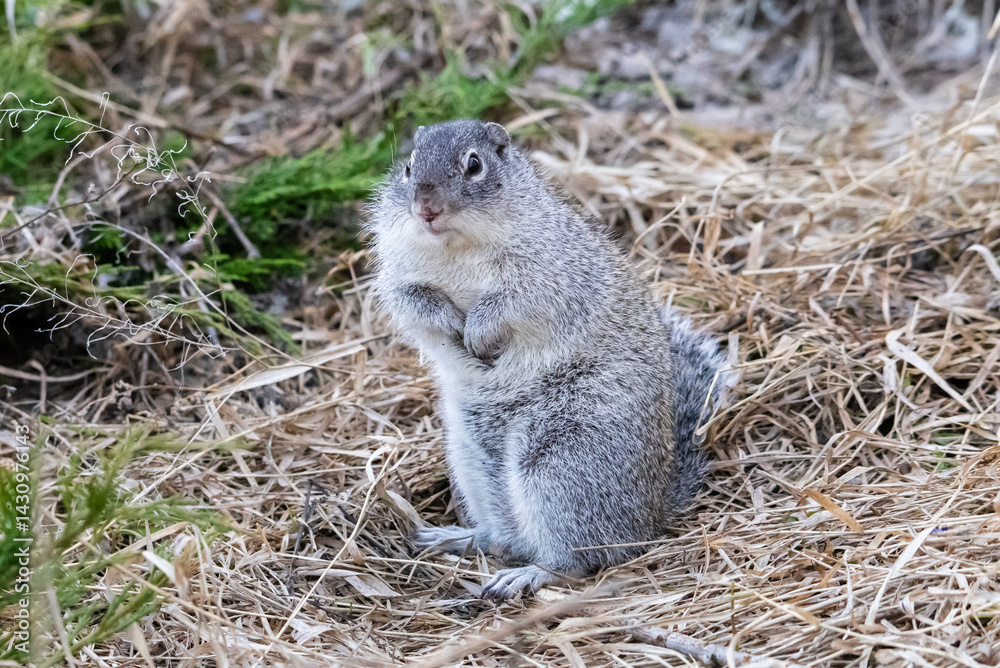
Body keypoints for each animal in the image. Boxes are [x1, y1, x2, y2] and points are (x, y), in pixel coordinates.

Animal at [367, 119, 734, 602]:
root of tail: (651, 515)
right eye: (408, 167)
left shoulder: (549, 276)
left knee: (579, 558)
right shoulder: (401, 276)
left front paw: (478, 330)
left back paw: (531, 574)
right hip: (471, 461)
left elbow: (513, 304)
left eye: (474, 164)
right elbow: (415, 304)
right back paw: (459, 537)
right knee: (504, 538)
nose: (425, 209)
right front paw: (450, 325)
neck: (456, 246)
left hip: (562, 461)